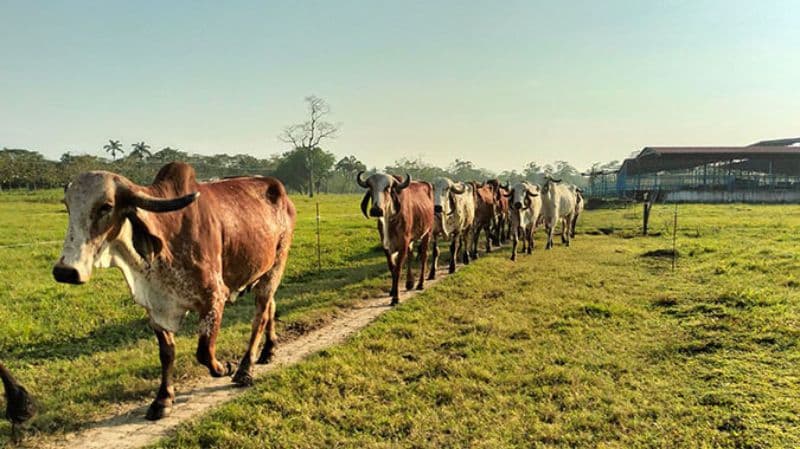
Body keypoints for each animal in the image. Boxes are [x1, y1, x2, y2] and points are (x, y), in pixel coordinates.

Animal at [54, 164, 296, 420]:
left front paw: (224, 367)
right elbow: (166, 353)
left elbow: (204, 351)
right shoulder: (156, 306)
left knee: (259, 317)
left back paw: (244, 370)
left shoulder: (214, 297)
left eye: (106, 206)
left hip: (276, 267)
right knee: (270, 307)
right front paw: (163, 400)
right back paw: (268, 351)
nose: (65, 271)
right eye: (68, 205)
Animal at [356, 171, 432, 304]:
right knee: (410, 256)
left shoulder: (403, 243)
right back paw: (409, 283)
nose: (376, 210)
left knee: (423, 256)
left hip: (427, 233)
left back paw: (420, 284)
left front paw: (395, 297)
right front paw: (392, 291)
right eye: (370, 187)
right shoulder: (386, 245)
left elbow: (398, 269)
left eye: (387, 188)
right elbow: (392, 268)